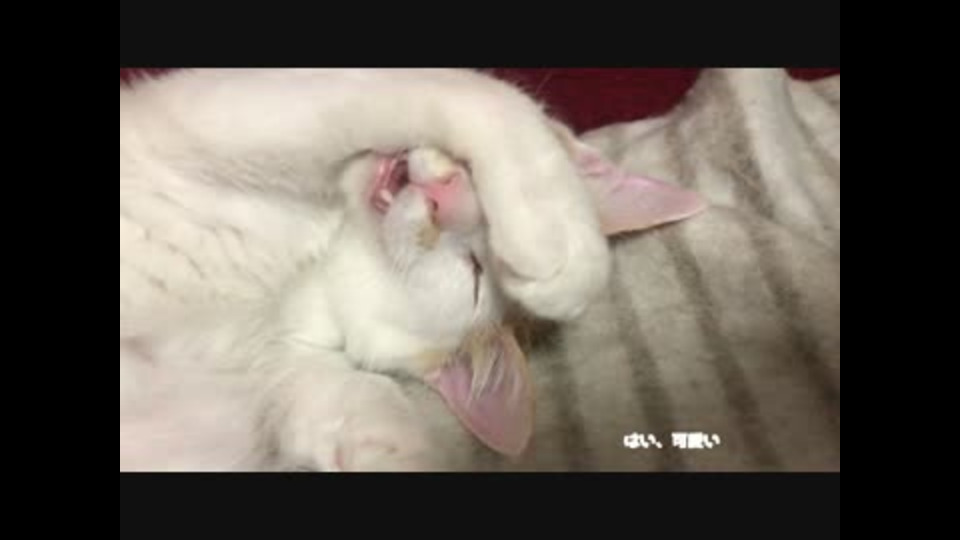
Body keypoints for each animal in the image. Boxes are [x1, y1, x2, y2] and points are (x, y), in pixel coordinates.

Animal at [119, 68, 705, 471]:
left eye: (471, 271)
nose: (447, 198)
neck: (306, 271)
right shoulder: (235, 112)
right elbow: (467, 90)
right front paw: (558, 230)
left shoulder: (283, 368)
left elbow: (355, 400)